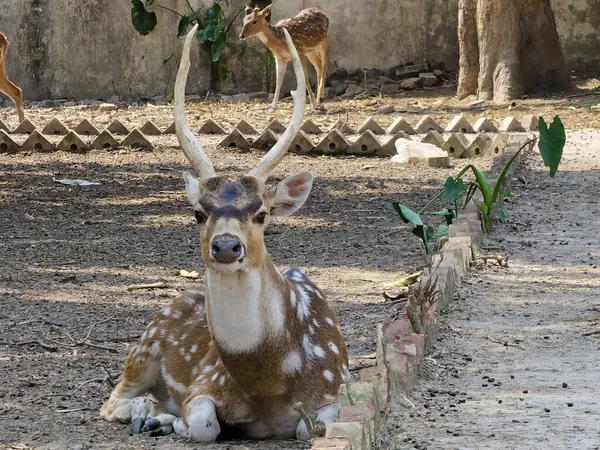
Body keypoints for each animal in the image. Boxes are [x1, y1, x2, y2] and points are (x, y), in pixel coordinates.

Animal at [101, 22, 350, 442]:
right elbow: (203, 424)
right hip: (146, 342)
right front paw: (177, 421)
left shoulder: (338, 385)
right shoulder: (205, 380)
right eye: (198, 213)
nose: (227, 246)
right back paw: (149, 414)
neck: (269, 382)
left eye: (262, 213)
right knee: (112, 401)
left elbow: (308, 427)